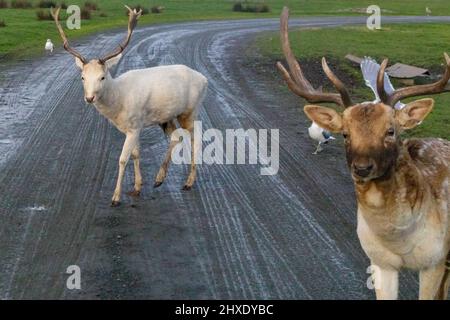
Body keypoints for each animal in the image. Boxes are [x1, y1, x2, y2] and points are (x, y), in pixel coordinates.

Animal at [50, 6, 207, 208]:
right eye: (82, 77)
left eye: (102, 77)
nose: (90, 98)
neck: (119, 101)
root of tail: (204, 79)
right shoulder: (131, 127)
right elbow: (136, 154)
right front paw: (137, 187)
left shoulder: (134, 126)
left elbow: (122, 159)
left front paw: (116, 198)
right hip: (167, 117)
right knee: (176, 136)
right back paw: (159, 178)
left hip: (191, 110)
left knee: (196, 139)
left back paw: (188, 182)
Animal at [278, 6, 450, 298]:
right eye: (346, 134)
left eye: (391, 131)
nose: (362, 167)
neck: (400, 239)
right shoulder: (379, 262)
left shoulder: (434, 261)